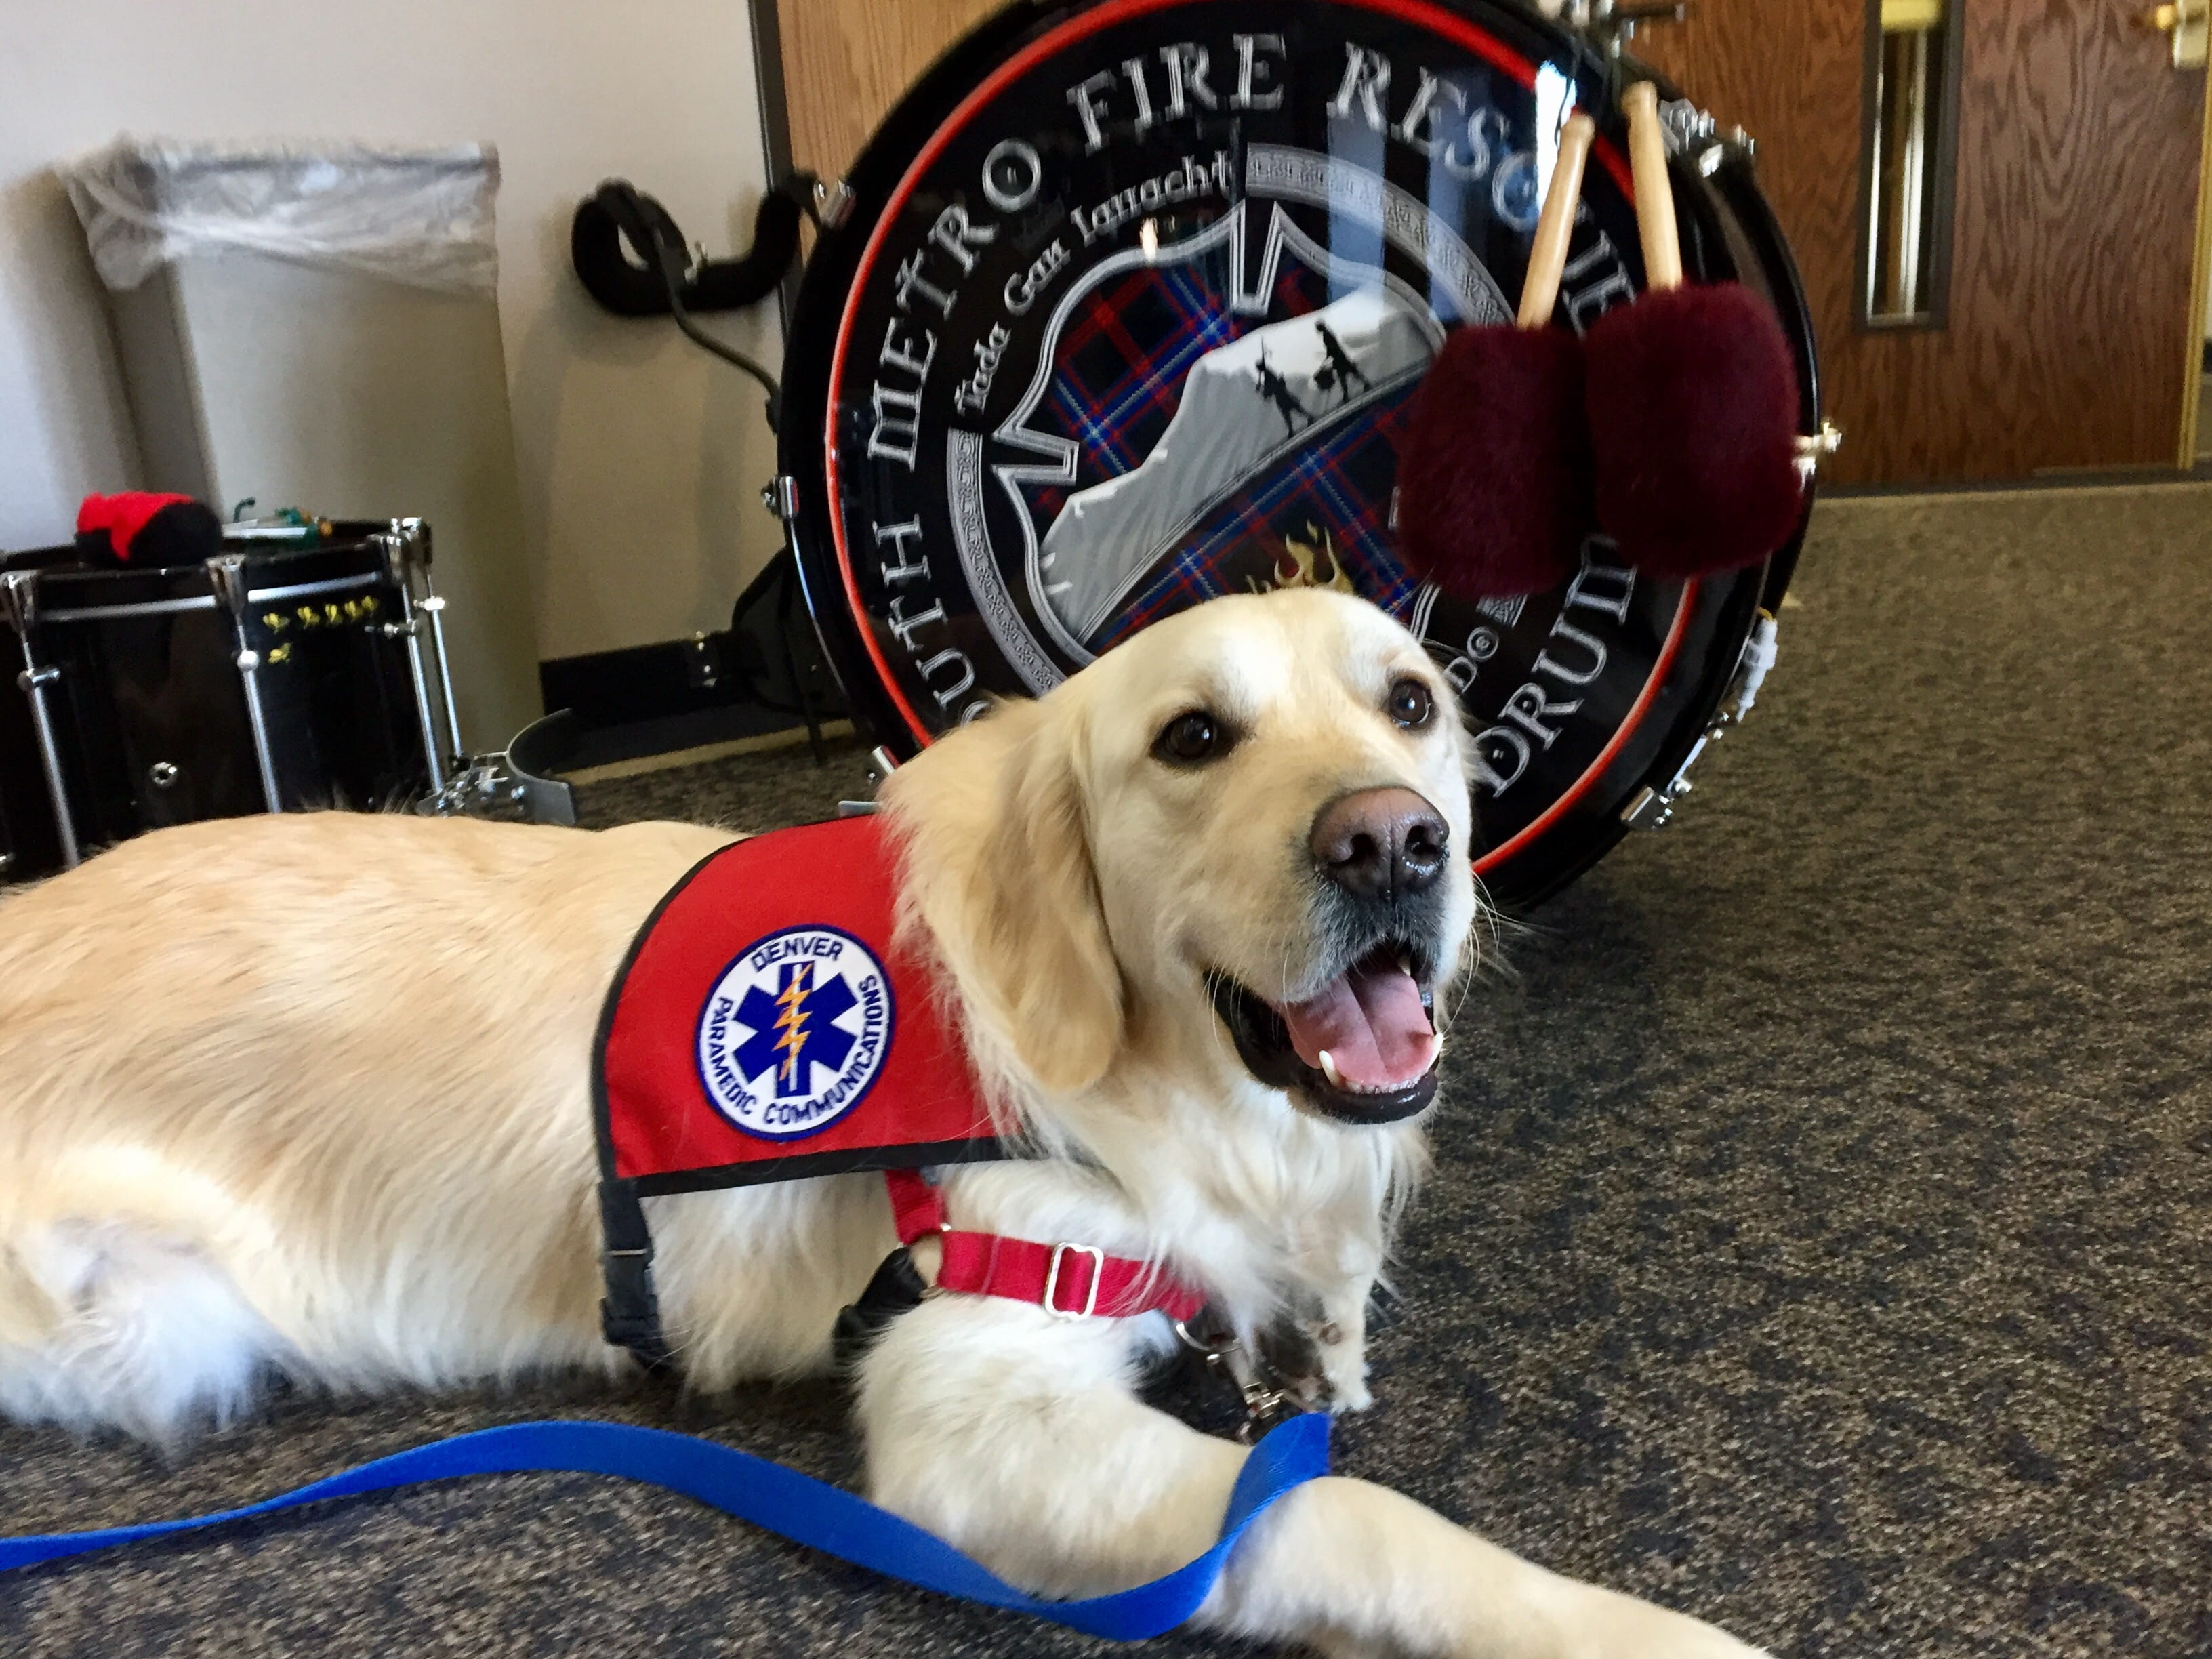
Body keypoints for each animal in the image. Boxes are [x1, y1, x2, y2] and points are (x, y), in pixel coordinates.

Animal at [0, 592, 1761, 1654]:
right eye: (1192, 736)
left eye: (1409, 702)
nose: (1393, 840)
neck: (1151, 1082)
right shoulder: (972, 1397)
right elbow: (1338, 1507)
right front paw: (1633, 1629)